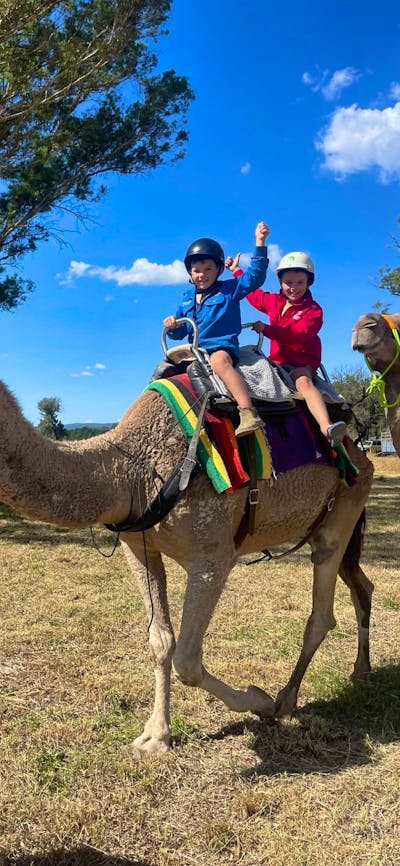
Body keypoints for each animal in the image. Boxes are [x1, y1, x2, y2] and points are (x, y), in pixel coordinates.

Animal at [0, 377, 374, 755]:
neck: (128, 471)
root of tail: (362, 455)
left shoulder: (212, 557)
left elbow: (188, 661)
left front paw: (259, 699)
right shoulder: (138, 548)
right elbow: (161, 642)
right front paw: (155, 736)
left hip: (345, 506)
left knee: (322, 609)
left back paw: (284, 700)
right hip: (328, 524)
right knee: (361, 586)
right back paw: (361, 671)